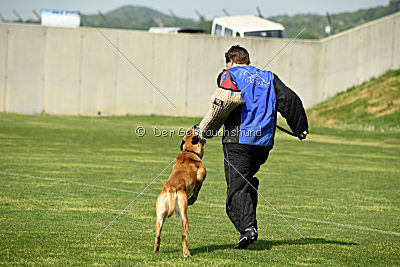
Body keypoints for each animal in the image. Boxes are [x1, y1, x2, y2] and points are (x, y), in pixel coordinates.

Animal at [153, 129, 206, 258]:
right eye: (196, 131)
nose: (196, 125)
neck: (188, 151)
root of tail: (171, 188)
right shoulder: (200, 176)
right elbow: (197, 190)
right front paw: (193, 199)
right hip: (184, 216)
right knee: (183, 236)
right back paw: (186, 253)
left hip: (160, 217)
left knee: (157, 235)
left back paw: (156, 251)